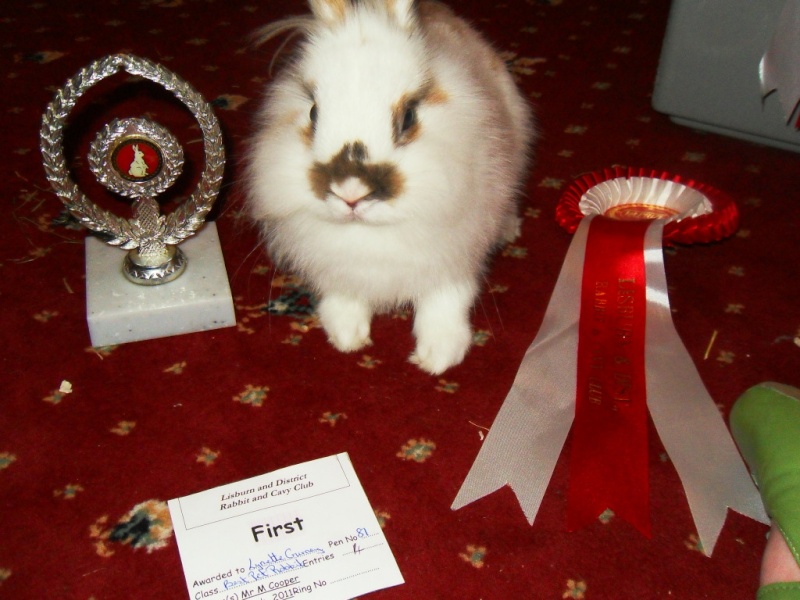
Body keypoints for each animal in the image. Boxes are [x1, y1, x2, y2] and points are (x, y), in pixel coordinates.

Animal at [247, 0, 536, 372]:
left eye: (409, 116)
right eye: (312, 113)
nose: (350, 192)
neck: (371, 233)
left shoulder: (455, 256)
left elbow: (446, 300)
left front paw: (439, 356)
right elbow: (343, 297)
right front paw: (346, 337)